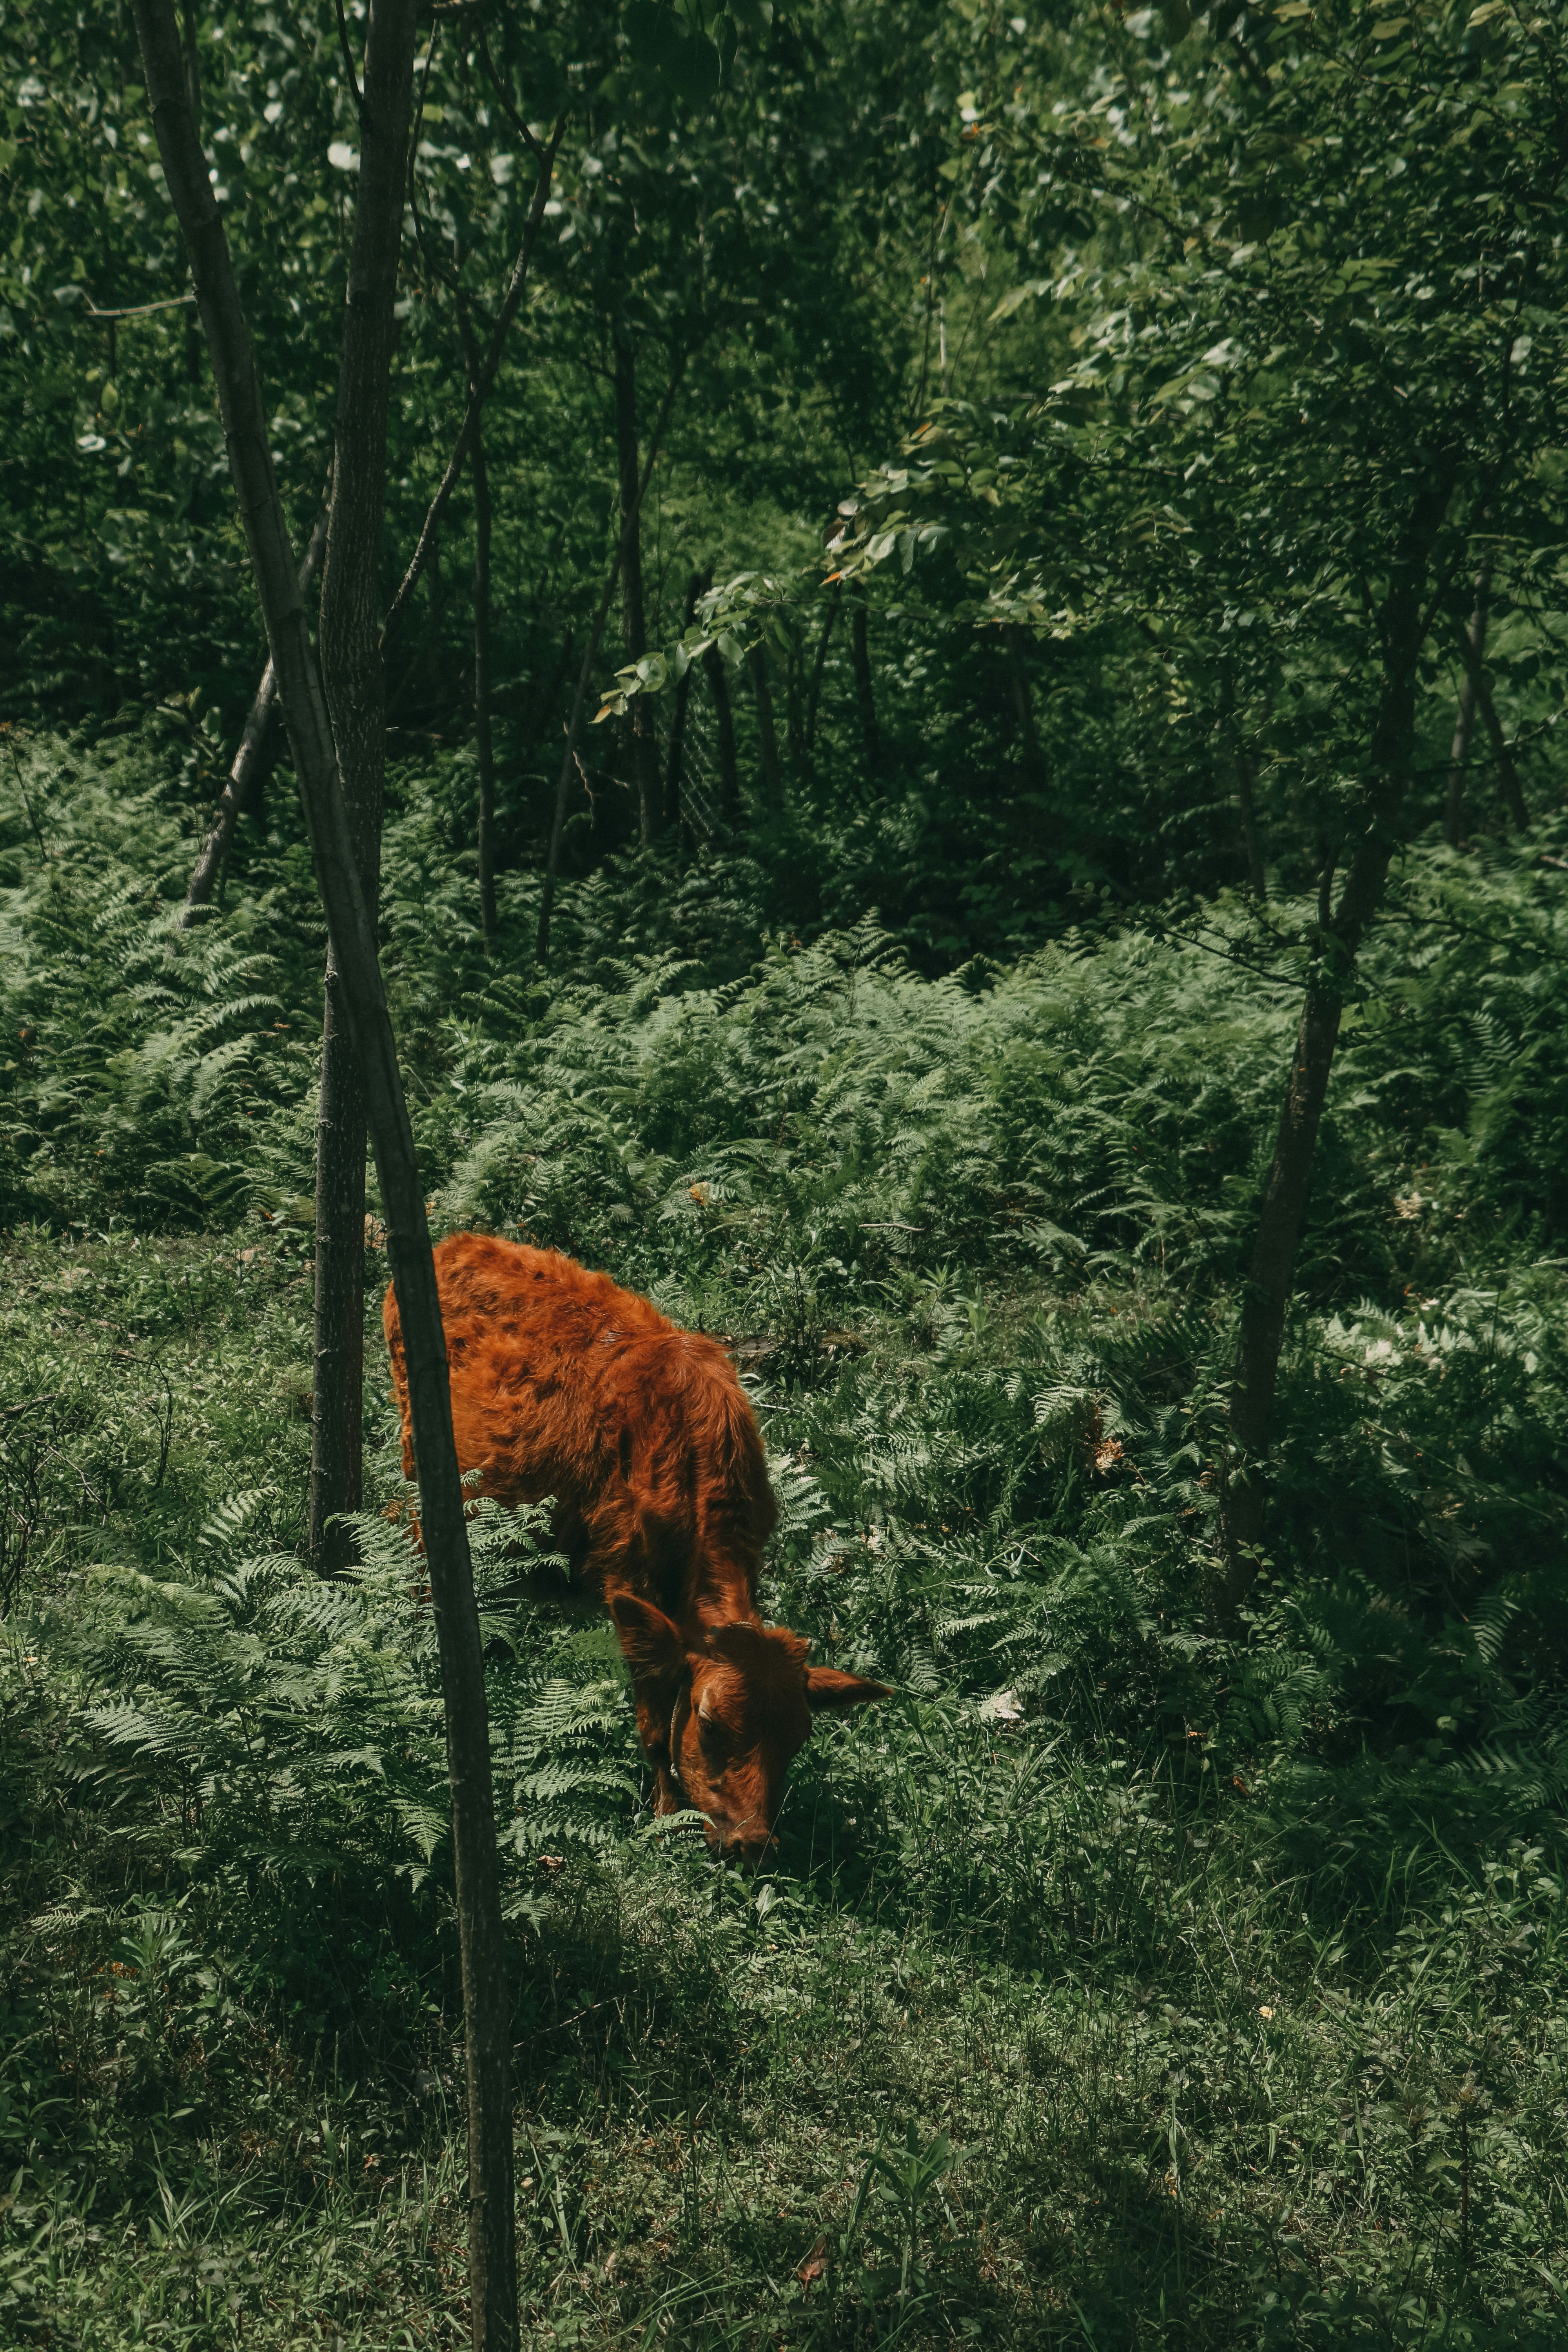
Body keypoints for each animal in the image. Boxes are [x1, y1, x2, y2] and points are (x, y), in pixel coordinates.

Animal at [381, 1232, 888, 1853]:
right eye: (711, 1724)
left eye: (797, 1737)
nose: (752, 1842)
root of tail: (458, 1241)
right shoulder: (627, 1576)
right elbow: (651, 1717)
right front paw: (664, 1815)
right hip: (417, 1458)